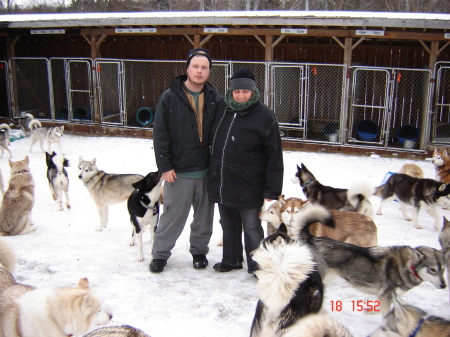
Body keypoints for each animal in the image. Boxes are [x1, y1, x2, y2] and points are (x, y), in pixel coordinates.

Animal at [286, 202, 444, 316]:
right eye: (432, 269)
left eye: (443, 270)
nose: (443, 285)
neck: (407, 265)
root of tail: (312, 238)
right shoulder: (386, 297)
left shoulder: (389, 297)